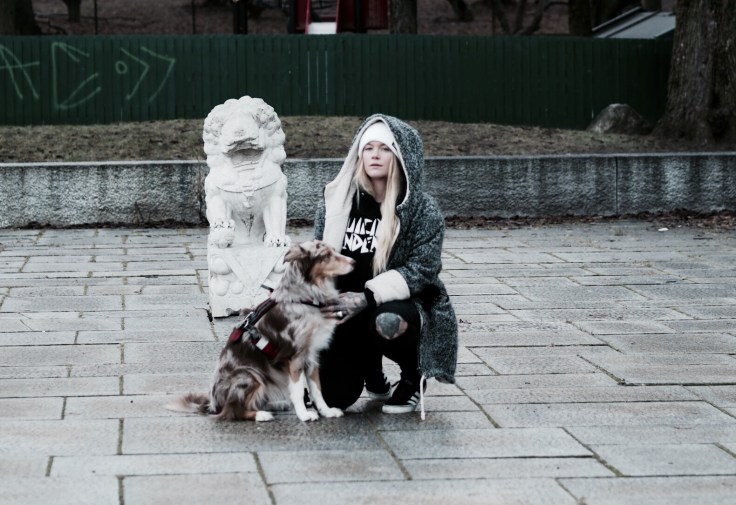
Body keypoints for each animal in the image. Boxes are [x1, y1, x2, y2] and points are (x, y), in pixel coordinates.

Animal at [167, 240, 354, 422]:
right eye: (326, 255)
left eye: (334, 251)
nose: (354, 262)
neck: (305, 298)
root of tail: (212, 405)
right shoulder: (295, 357)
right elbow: (299, 391)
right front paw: (304, 415)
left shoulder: (312, 355)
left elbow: (317, 390)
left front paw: (327, 412)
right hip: (250, 374)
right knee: (231, 411)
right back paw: (261, 414)